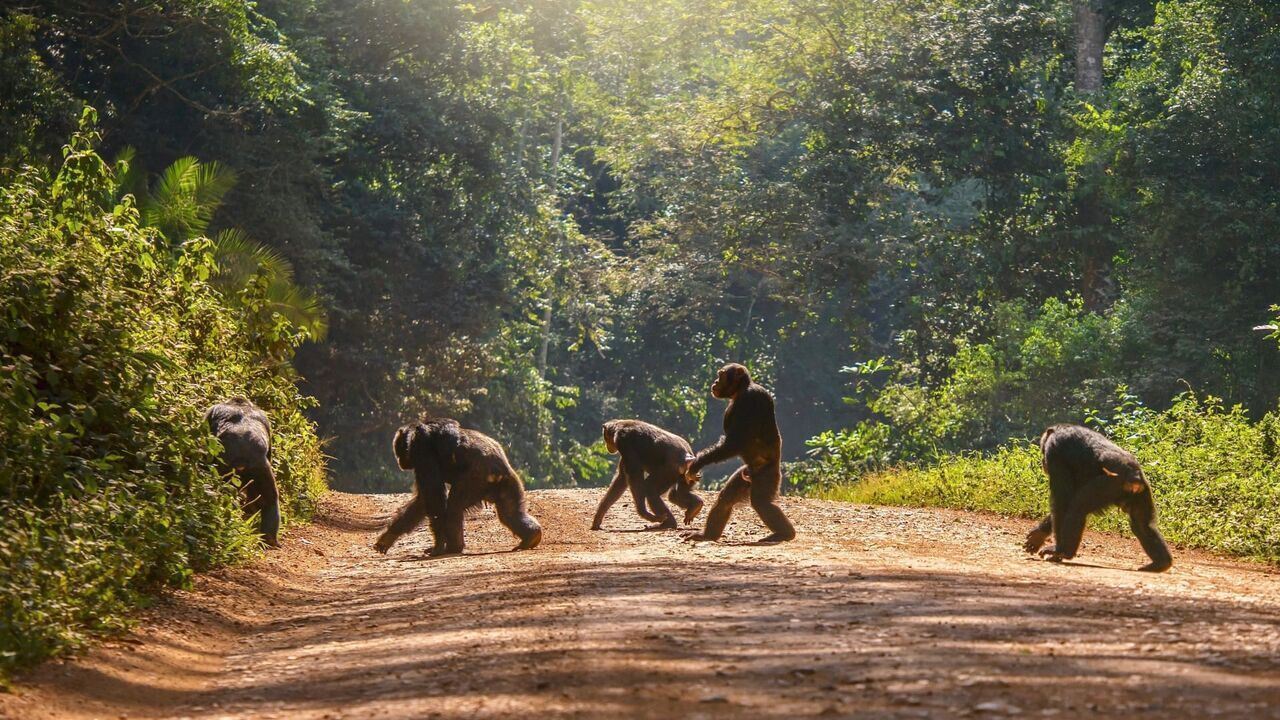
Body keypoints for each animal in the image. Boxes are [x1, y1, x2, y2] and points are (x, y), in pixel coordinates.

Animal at [206, 397, 281, 543]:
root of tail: (242, 459)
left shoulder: (211, 411)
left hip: (237, 466)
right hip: (260, 468)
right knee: (269, 498)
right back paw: (269, 537)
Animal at [376, 415, 542, 556]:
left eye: (398, 451)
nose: (399, 461)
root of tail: (499, 470)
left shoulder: (421, 450)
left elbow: (433, 496)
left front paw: (437, 546)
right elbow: (422, 501)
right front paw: (388, 537)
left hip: (475, 480)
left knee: (454, 507)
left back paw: (453, 547)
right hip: (508, 483)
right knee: (510, 513)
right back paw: (531, 536)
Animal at [686, 361, 793, 540]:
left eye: (721, 375)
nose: (715, 382)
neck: (740, 391)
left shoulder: (750, 400)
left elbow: (735, 442)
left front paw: (697, 463)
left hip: (767, 475)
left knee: (762, 503)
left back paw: (785, 534)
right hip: (745, 476)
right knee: (726, 500)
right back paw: (708, 535)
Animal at [1024, 420, 1172, 571]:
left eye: (1043, 450)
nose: (1043, 462)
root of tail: (1134, 477)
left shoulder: (1054, 452)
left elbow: (1063, 499)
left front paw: (1053, 548)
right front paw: (1038, 535)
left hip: (1109, 485)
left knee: (1078, 506)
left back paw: (1063, 550)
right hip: (1142, 492)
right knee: (1142, 525)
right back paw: (1160, 563)